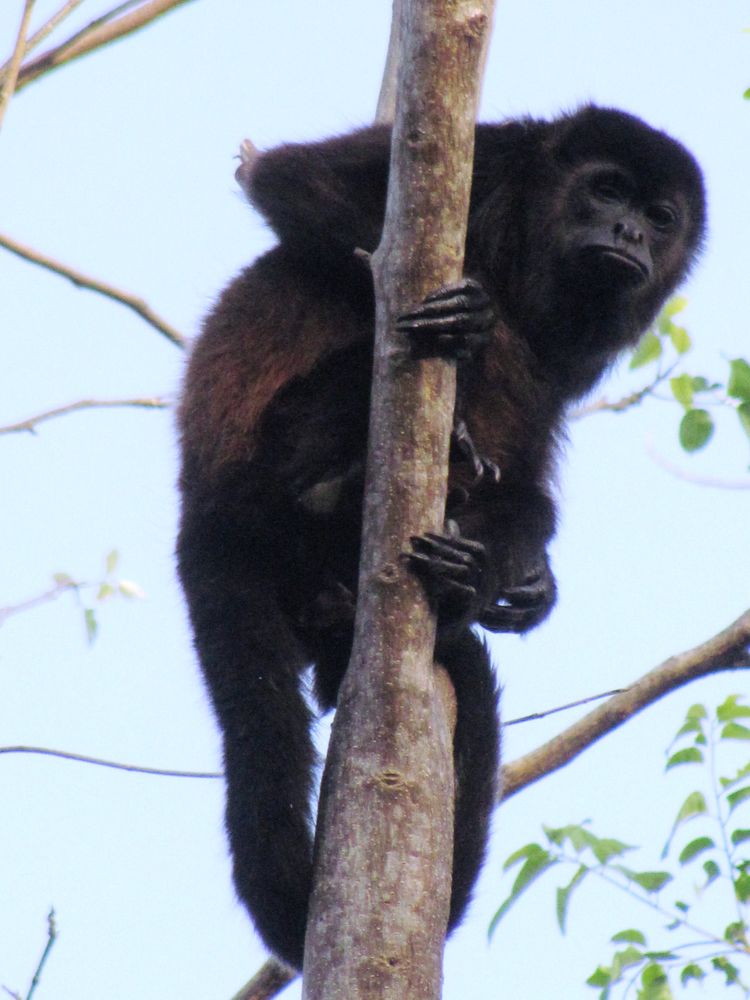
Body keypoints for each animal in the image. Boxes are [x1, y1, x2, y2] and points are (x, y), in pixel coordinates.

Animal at [179, 103, 708, 968]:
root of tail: (203, 521)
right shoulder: (496, 153)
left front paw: (528, 587)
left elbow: (534, 455)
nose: (629, 230)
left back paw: (462, 572)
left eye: (661, 217)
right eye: (607, 191)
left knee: (528, 494)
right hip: (255, 483)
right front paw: (477, 314)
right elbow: (293, 180)